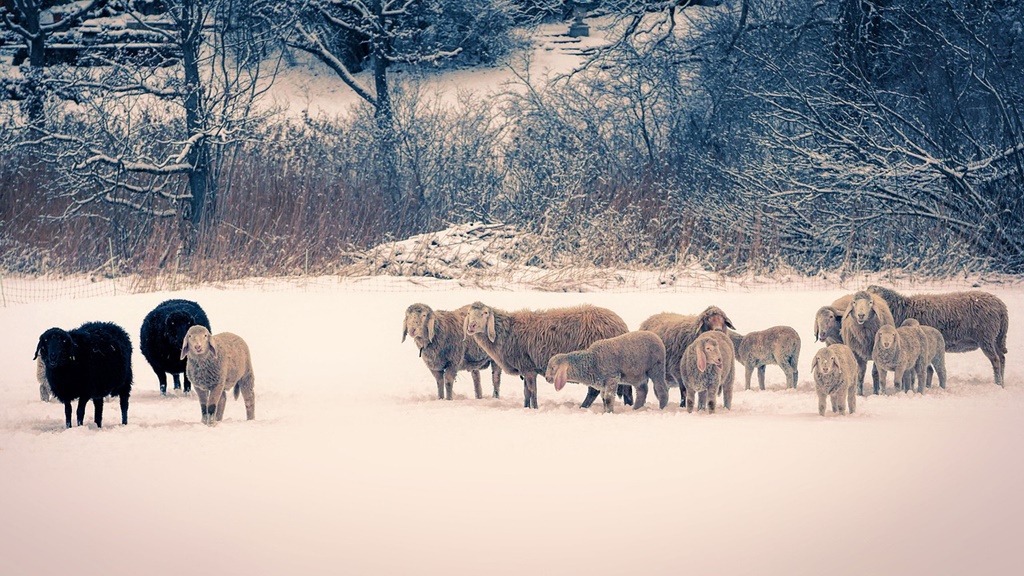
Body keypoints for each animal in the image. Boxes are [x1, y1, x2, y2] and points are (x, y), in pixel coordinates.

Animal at [462, 301, 626, 407]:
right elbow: (526, 392)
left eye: (484, 313)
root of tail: (621, 324)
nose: (471, 326)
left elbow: (532, 391)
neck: (507, 332)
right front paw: (526, 407)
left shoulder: (528, 368)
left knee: (593, 391)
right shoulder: (526, 368)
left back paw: (583, 407)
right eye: (469, 313)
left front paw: (534, 408)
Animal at [864, 282, 1007, 385]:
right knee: (1002, 358)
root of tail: (1001, 306)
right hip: (995, 338)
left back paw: (998, 383)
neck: (902, 310)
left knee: (996, 360)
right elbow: (928, 369)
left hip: (986, 337)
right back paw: (1002, 382)